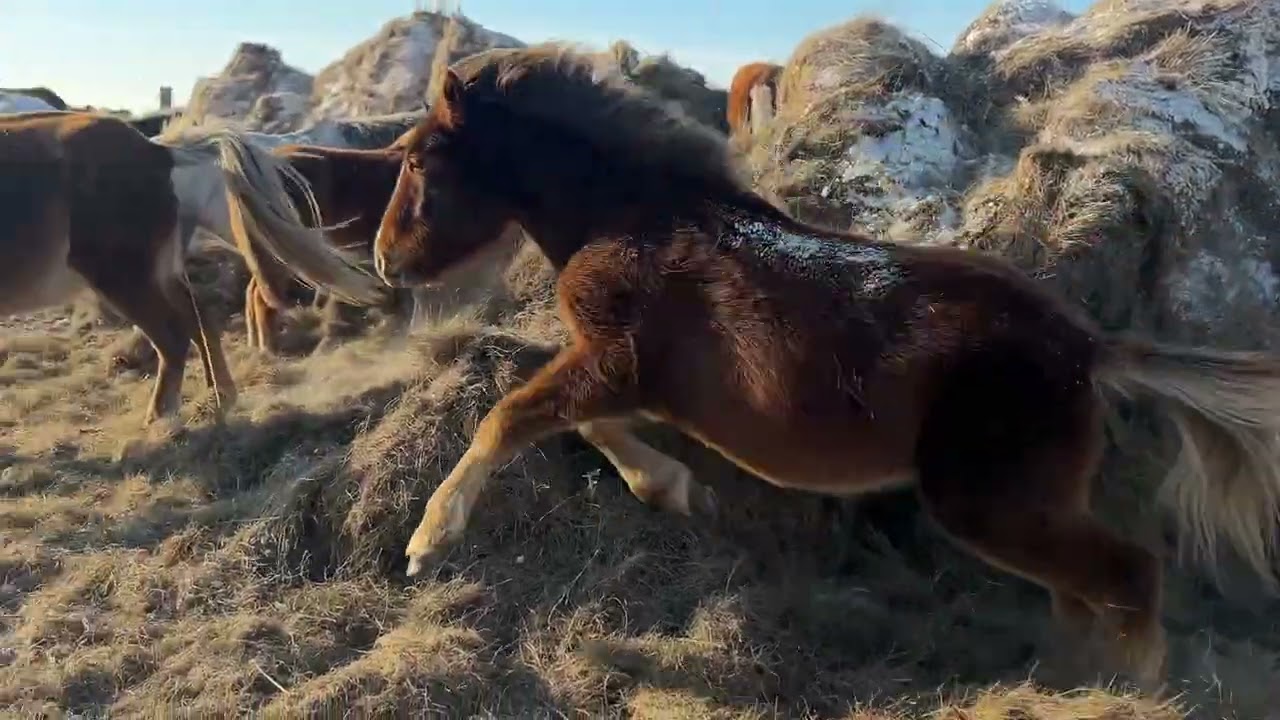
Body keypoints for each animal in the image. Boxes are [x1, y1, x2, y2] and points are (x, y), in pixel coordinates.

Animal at [0, 111, 384, 427]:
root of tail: (158, 153)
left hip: (125, 278)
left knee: (174, 339)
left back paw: (160, 420)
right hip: (159, 274)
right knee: (200, 322)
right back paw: (220, 399)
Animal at [369, 44, 1280, 691]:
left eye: (415, 159)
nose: (382, 261)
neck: (634, 217)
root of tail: (1089, 348)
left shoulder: (618, 358)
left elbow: (510, 416)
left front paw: (425, 542)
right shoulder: (633, 377)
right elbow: (585, 426)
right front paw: (675, 487)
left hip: (991, 502)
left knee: (1130, 577)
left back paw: (1128, 690)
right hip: (1030, 504)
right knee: (1085, 596)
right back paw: (1071, 680)